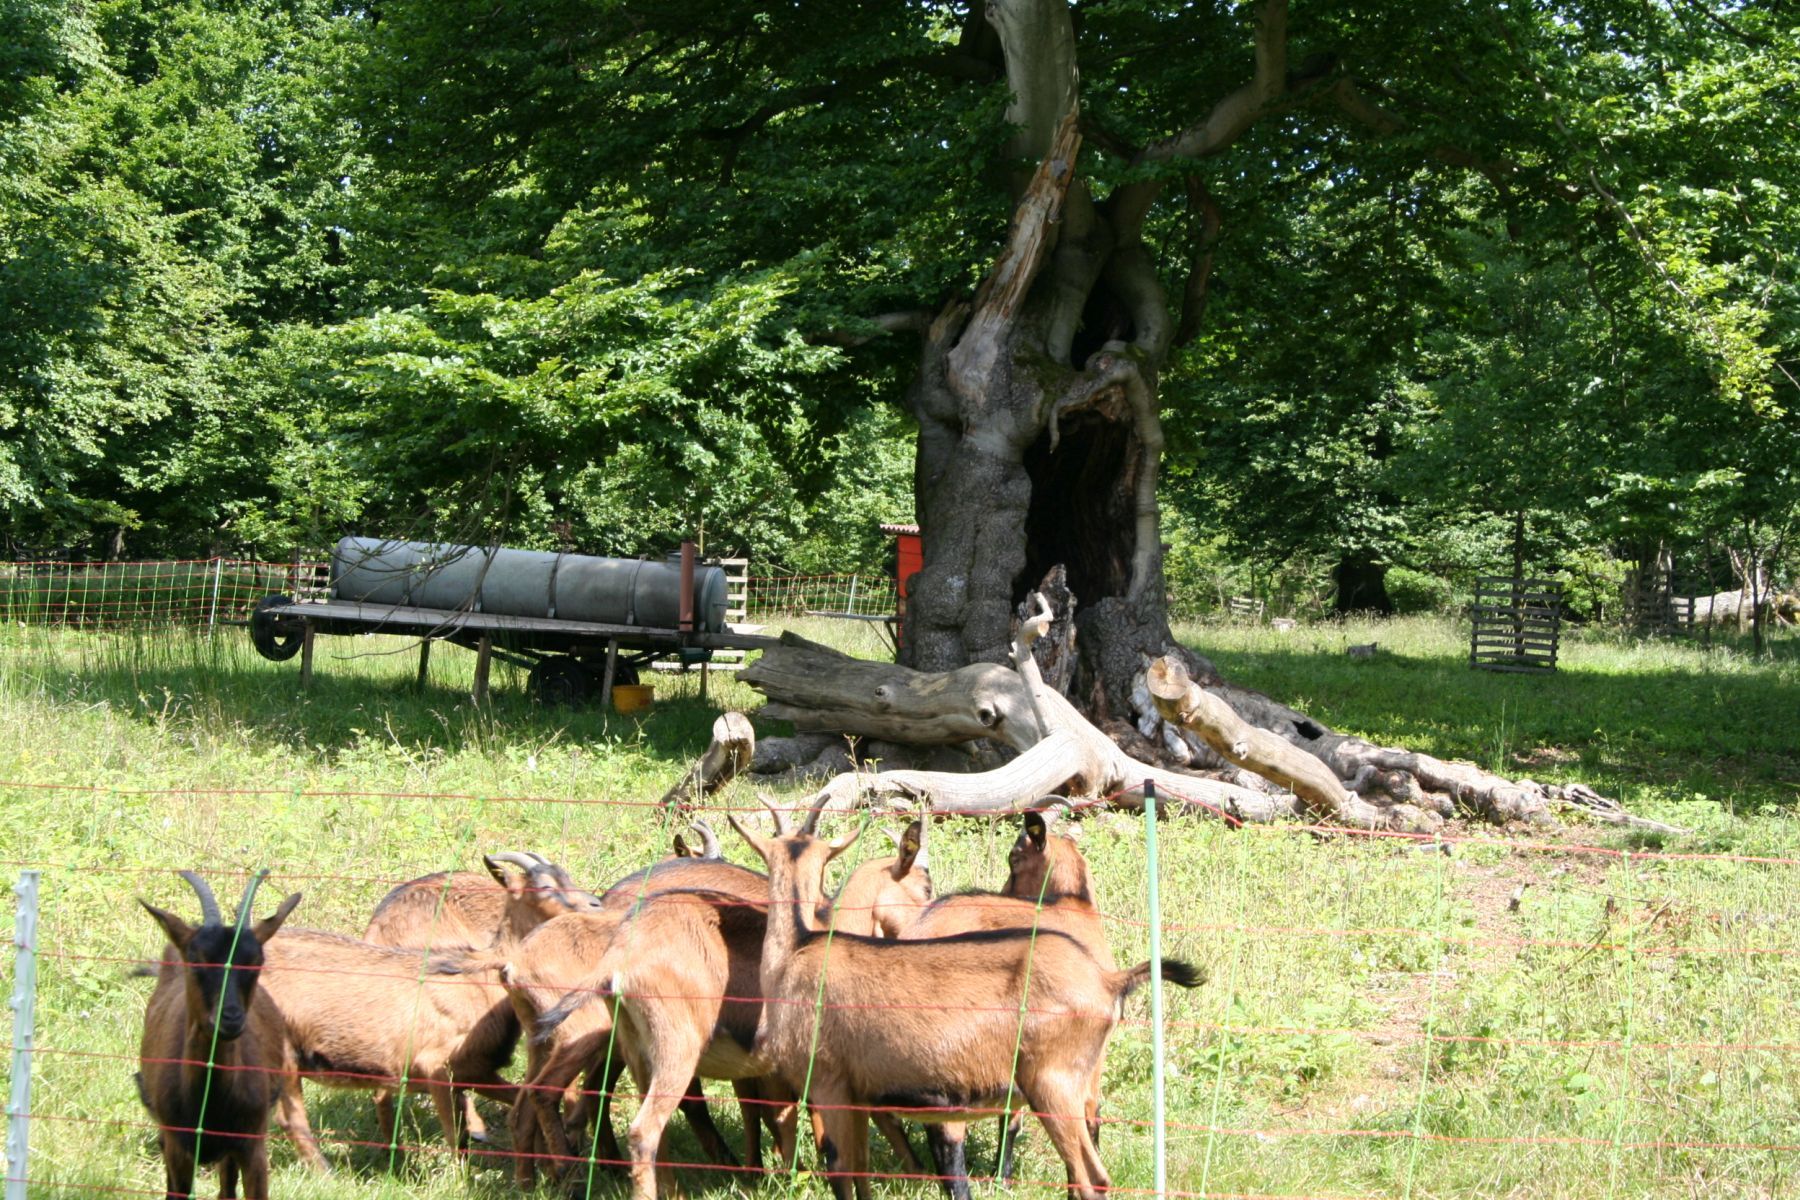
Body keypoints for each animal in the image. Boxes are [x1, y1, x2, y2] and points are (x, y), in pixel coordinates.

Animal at [729, 798, 1203, 1200]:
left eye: (1015, 857)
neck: (799, 950)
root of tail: (1109, 980)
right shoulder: (855, 1092)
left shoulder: (829, 1082)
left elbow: (843, 1171)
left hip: (1050, 1084)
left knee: (1089, 1175)